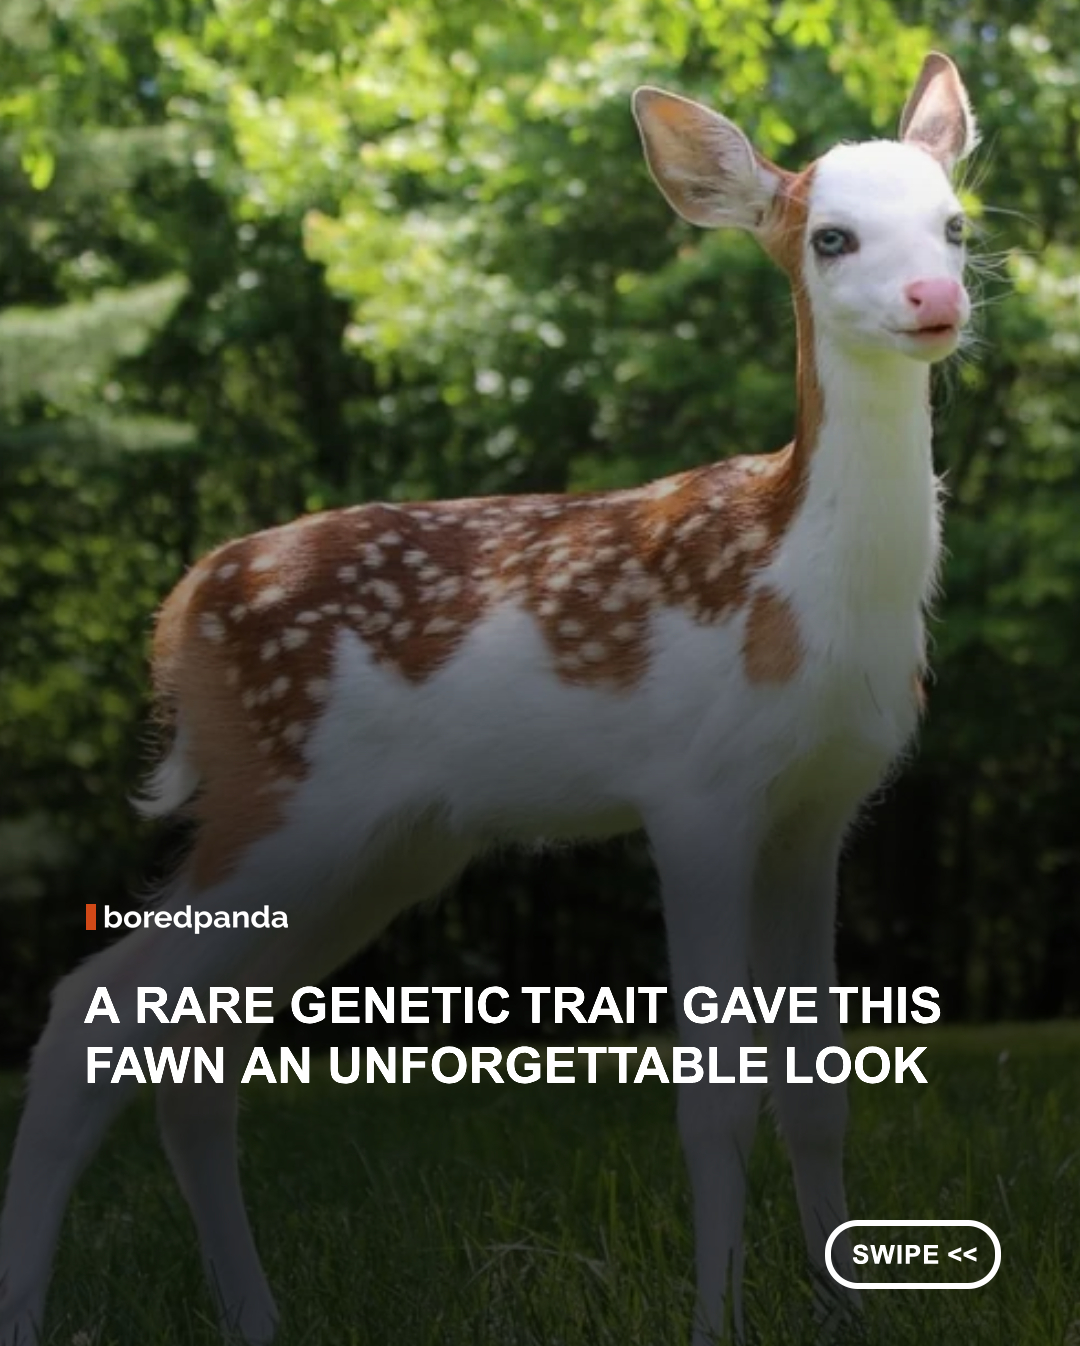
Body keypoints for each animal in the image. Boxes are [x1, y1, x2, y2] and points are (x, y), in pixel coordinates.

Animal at [0, 50, 978, 1346]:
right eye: (830, 236)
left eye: (955, 222)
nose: (934, 295)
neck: (805, 585)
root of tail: (182, 606)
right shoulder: (698, 788)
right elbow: (716, 1092)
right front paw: (716, 1320)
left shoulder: (817, 811)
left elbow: (818, 1090)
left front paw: (847, 1315)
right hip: (284, 796)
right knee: (89, 1013)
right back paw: (36, 1313)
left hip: (381, 845)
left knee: (194, 1052)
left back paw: (256, 1317)